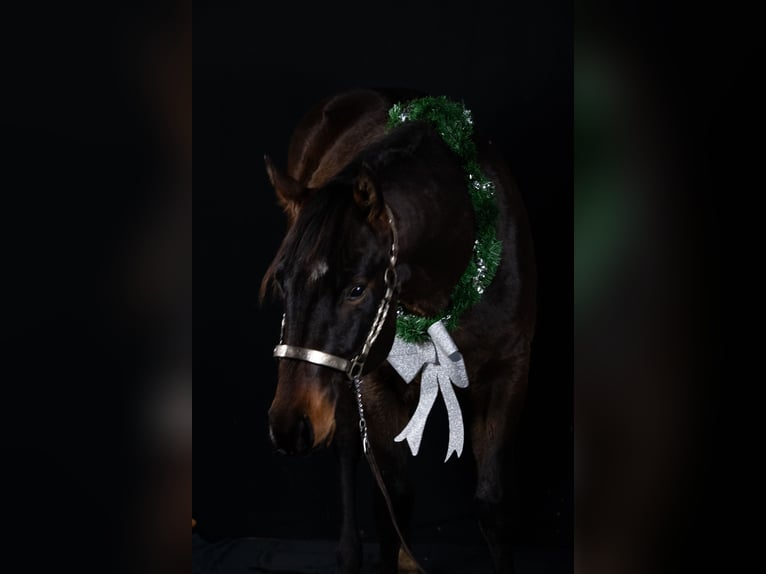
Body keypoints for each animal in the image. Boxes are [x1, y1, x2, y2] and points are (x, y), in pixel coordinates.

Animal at [261, 88, 536, 573]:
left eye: (356, 289)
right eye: (281, 281)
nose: (288, 426)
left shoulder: (509, 370)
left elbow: (492, 502)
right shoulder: (371, 381)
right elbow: (393, 500)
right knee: (348, 446)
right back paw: (350, 553)